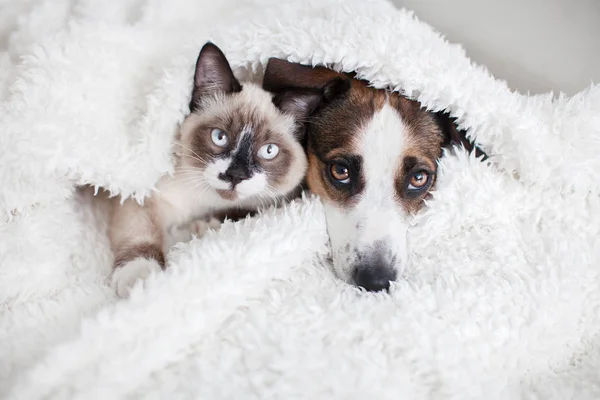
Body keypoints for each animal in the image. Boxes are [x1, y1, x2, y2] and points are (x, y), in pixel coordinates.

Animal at [107, 43, 316, 296]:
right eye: (219, 137)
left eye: (268, 151)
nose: (235, 175)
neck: (207, 202)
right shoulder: (142, 198)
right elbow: (140, 235)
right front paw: (140, 281)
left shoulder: (264, 205)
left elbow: (238, 214)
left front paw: (201, 227)